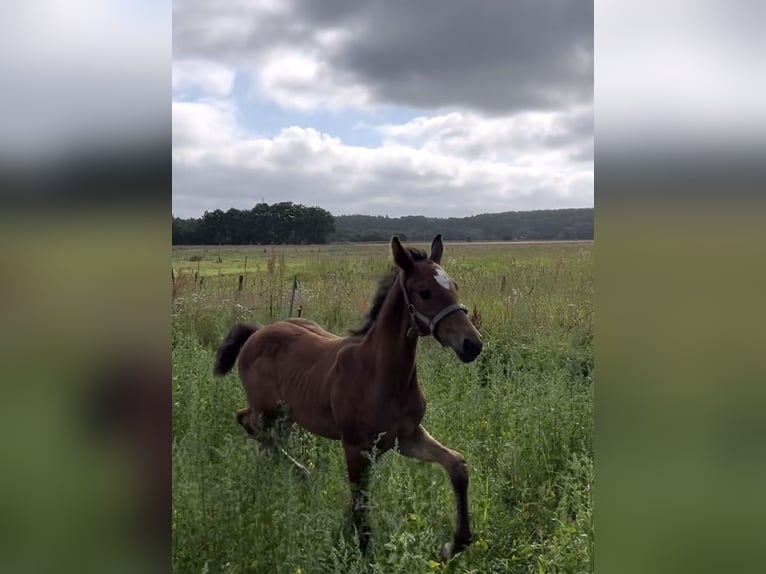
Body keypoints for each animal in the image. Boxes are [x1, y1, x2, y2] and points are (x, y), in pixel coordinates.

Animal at [213, 233, 484, 560]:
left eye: (454, 285)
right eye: (424, 292)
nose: (472, 344)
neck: (380, 375)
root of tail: (258, 332)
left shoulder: (406, 437)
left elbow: (457, 465)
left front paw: (453, 545)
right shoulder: (355, 447)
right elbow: (360, 501)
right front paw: (363, 550)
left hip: (286, 415)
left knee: (267, 438)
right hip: (266, 409)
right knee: (248, 422)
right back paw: (299, 473)